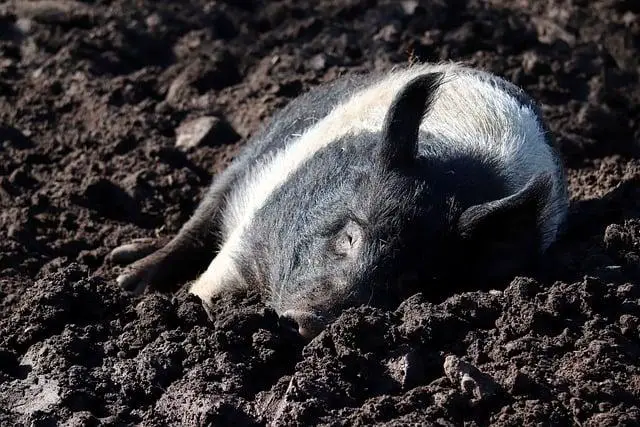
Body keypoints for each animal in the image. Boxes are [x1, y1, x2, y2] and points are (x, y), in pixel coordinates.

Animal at [110, 61, 568, 342]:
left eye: (413, 282)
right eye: (349, 236)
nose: (304, 321)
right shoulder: (257, 226)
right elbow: (211, 280)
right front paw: (189, 306)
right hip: (247, 161)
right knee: (196, 226)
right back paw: (122, 273)